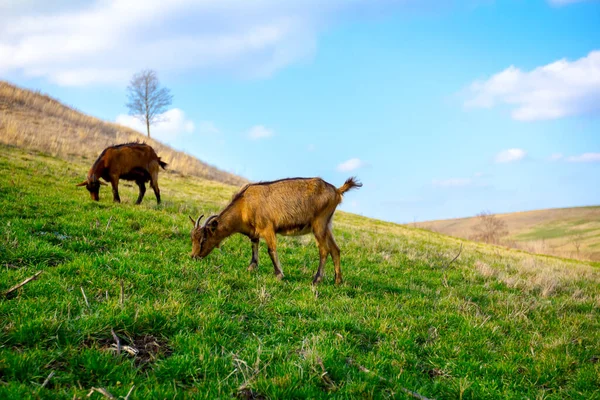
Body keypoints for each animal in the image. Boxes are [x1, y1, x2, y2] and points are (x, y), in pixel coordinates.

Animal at [190, 177, 364, 284]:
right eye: (192, 238)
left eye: (203, 239)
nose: (193, 256)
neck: (245, 204)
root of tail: (337, 191)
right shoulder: (255, 232)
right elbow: (254, 246)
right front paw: (251, 267)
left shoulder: (268, 228)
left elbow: (271, 250)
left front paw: (279, 274)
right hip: (327, 225)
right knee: (335, 250)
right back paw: (338, 281)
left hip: (319, 224)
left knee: (324, 250)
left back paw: (316, 279)